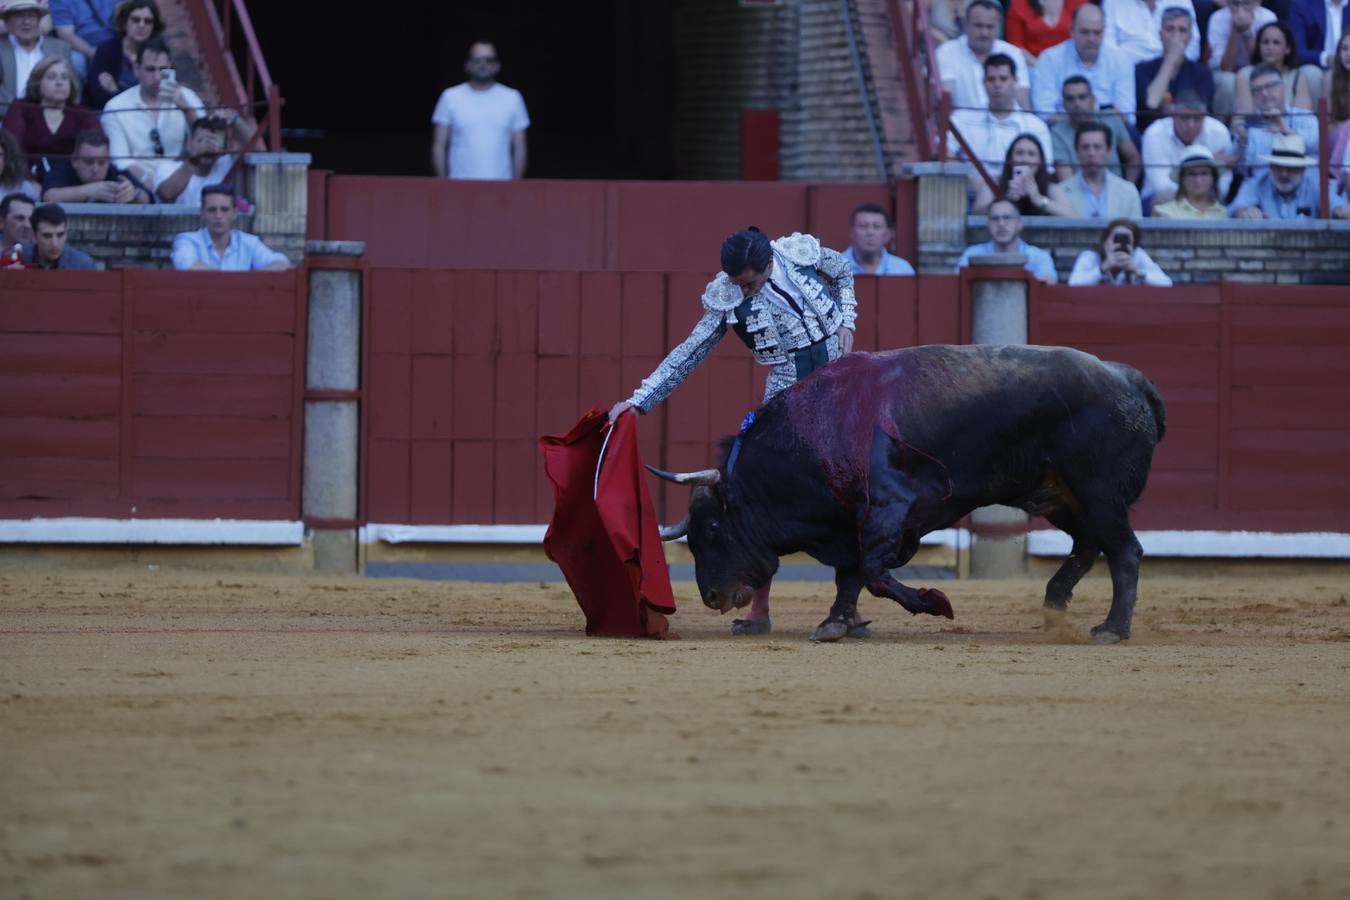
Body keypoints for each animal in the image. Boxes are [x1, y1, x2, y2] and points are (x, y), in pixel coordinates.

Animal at [648, 341, 1166, 644]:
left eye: (713, 529)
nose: (712, 596)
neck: (811, 438)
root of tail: (1127, 378)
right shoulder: (850, 519)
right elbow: (852, 573)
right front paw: (837, 623)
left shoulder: (887, 510)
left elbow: (873, 572)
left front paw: (936, 603)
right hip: (1061, 496)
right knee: (1088, 544)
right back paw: (1056, 608)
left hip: (1098, 493)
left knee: (1125, 551)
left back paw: (1112, 629)